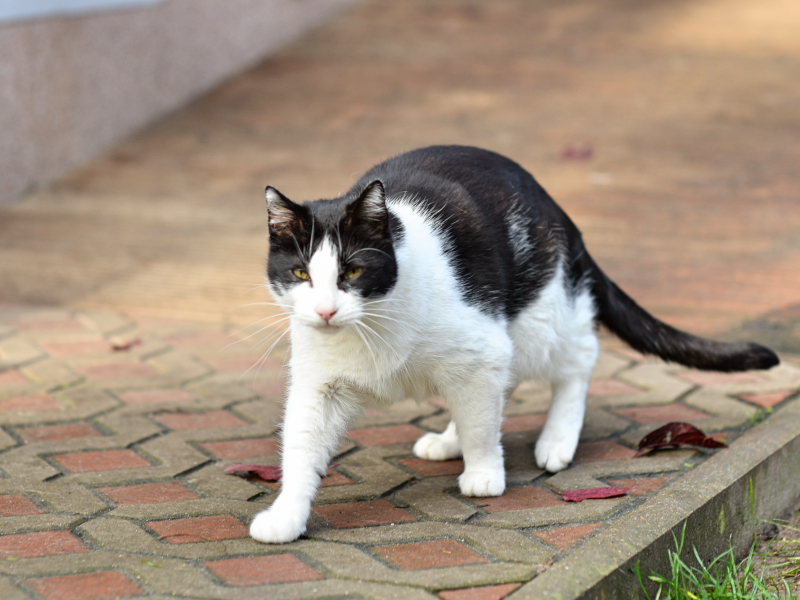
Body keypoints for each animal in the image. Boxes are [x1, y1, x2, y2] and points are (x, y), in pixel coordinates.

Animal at [249, 145, 778, 544]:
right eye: (300, 273)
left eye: (353, 271)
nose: (325, 311)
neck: (373, 324)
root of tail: (557, 207)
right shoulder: (320, 385)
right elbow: (300, 447)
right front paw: (286, 516)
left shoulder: (481, 345)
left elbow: (484, 426)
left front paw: (484, 473)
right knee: (498, 387)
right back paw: (449, 439)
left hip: (537, 319)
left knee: (577, 359)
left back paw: (557, 439)